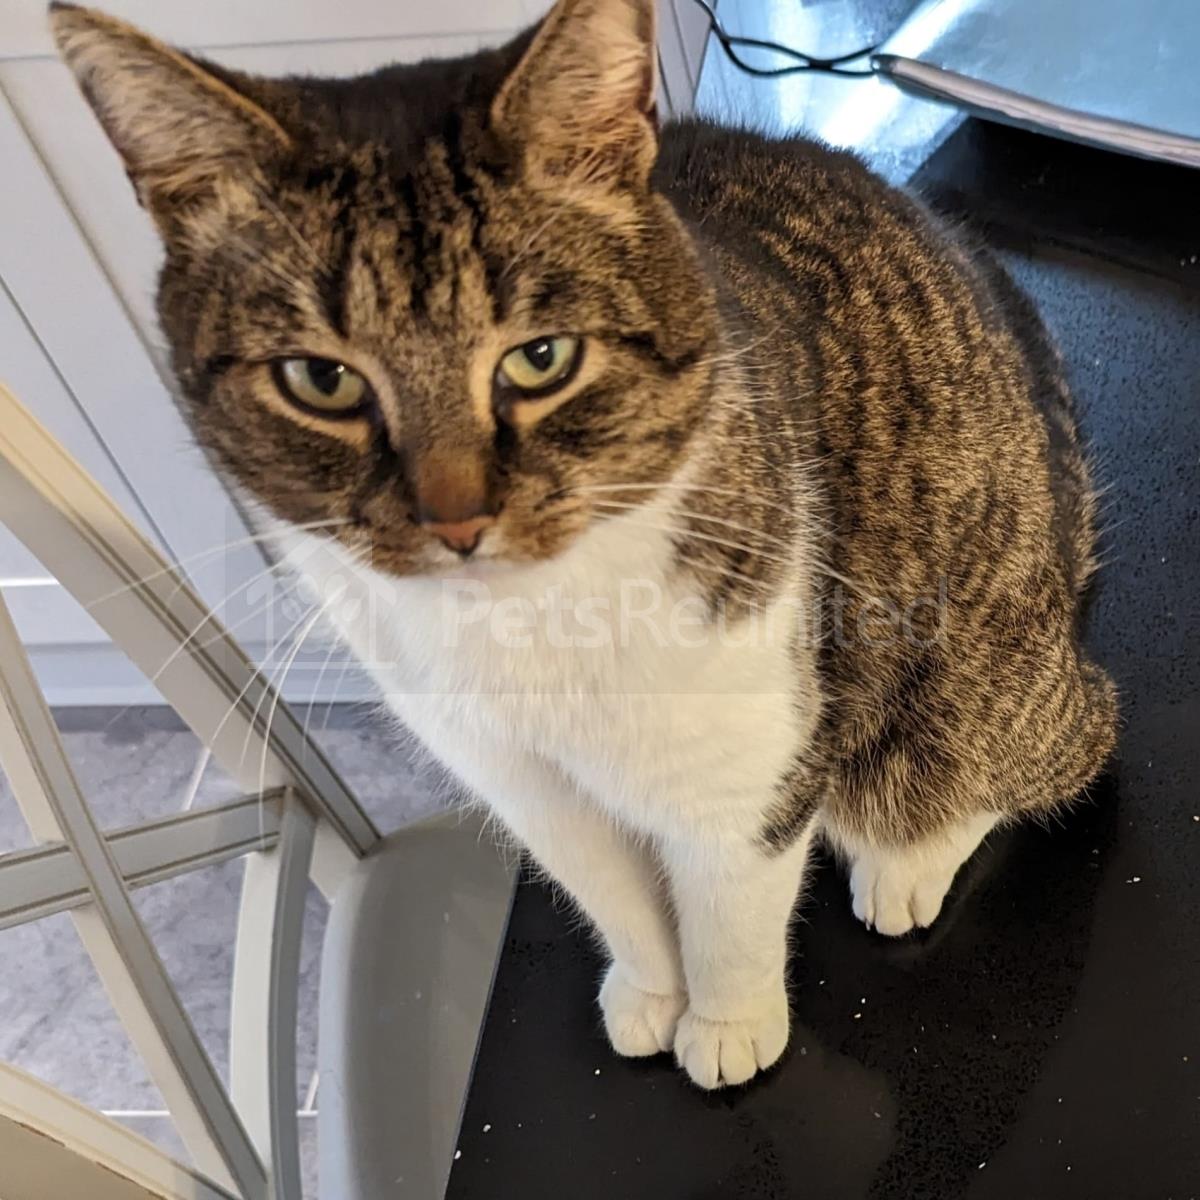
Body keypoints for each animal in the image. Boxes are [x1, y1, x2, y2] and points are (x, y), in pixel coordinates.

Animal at [54, 0, 1117, 1089]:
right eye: (321, 380)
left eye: (542, 358)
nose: (455, 520)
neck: (534, 632)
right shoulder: (527, 788)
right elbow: (618, 902)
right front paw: (652, 994)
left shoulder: (748, 765)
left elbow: (729, 915)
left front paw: (726, 1023)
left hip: (960, 695)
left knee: (1047, 748)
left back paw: (905, 865)